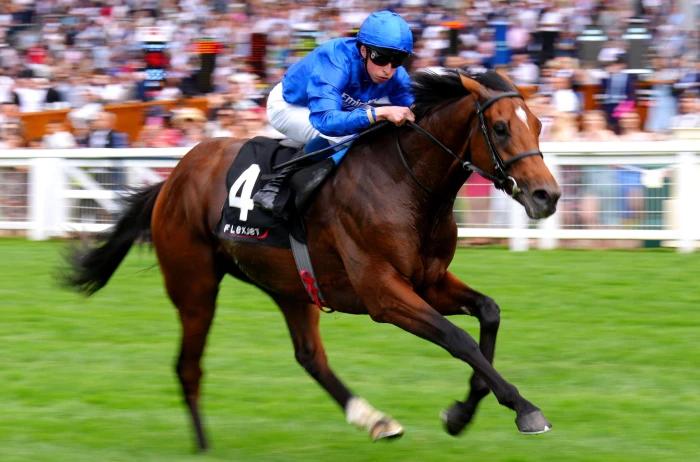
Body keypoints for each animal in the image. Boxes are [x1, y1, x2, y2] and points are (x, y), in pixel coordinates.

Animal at [64, 69, 556, 452]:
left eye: (537, 124)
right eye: (500, 127)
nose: (546, 195)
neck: (406, 184)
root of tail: (170, 180)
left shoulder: (428, 279)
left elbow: (488, 313)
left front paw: (461, 413)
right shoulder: (383, 294)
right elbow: (459, 339)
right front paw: (524, 408)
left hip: (291, 285)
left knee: (309, 356)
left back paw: (374, 419)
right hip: (195, 286)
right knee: (188, 366)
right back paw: (203, 446)